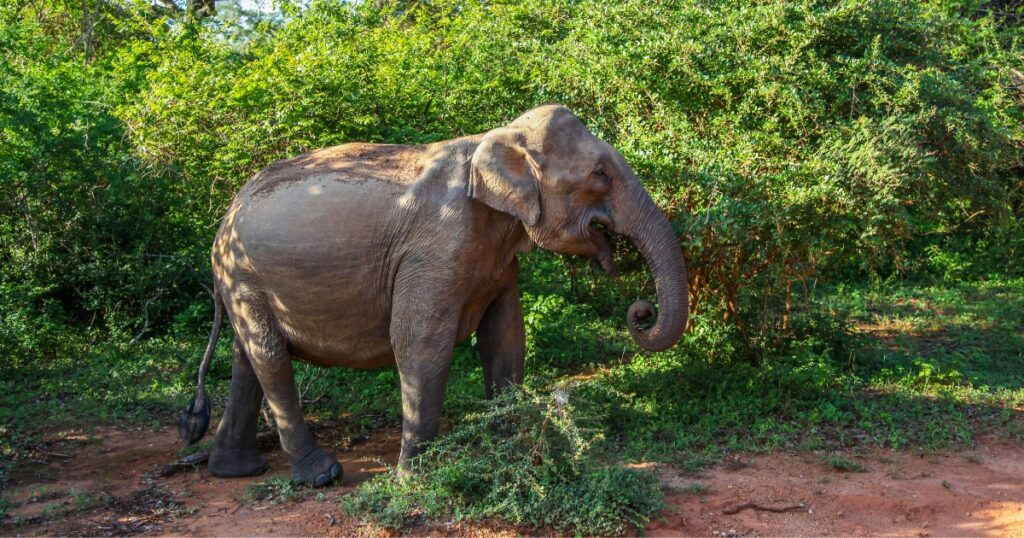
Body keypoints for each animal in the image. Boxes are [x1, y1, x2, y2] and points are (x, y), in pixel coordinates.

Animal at [178, 104, 688, 485]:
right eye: (600, 174)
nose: (640, 310)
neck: (494, 139)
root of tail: (226, 215)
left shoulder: (497, 260)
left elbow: (506, 338)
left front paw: (509, 454)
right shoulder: (434, 250)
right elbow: (421, 341)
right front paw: (415, 481)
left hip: (242, 282)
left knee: (248, 360)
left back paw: (235, 471)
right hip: (244, 277)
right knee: (270, 360)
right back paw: (322, 476)